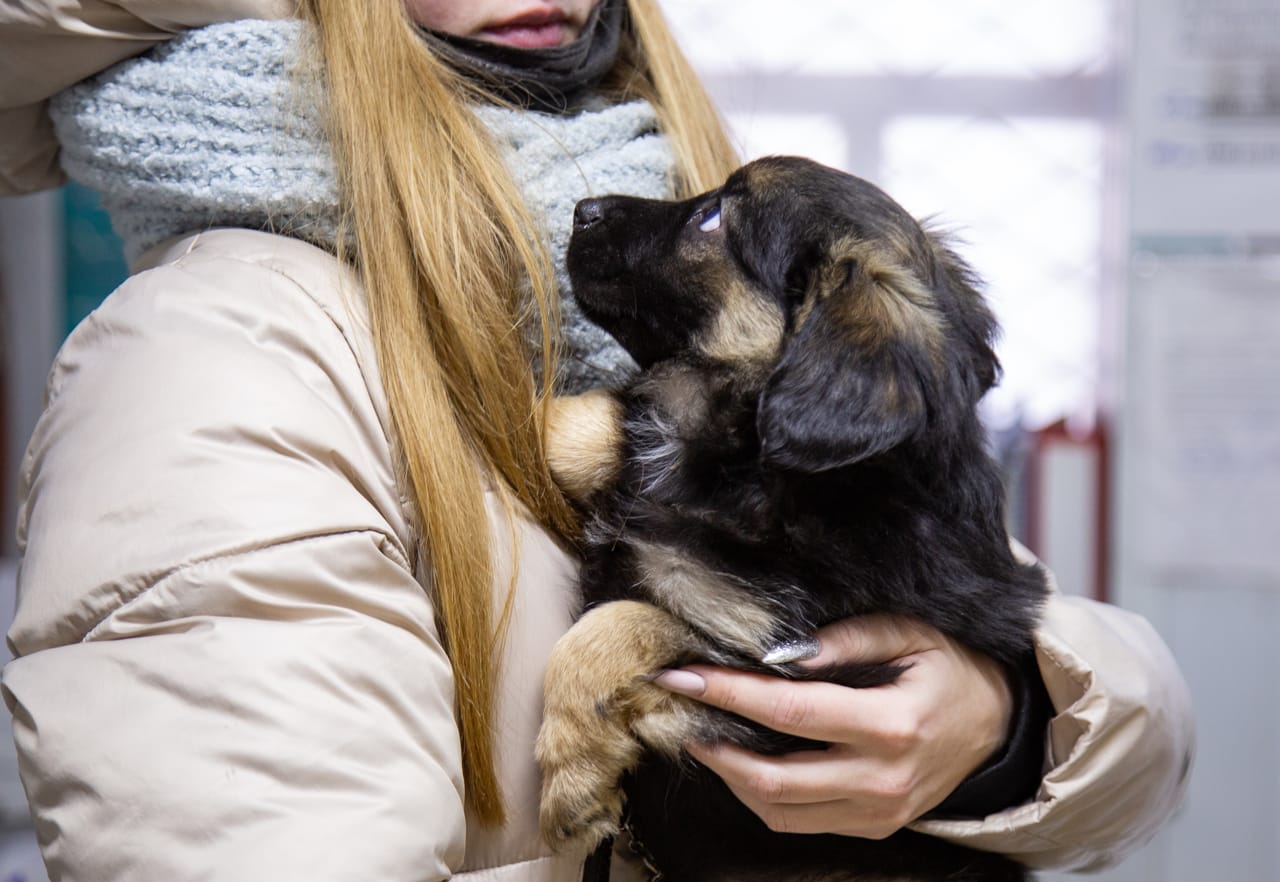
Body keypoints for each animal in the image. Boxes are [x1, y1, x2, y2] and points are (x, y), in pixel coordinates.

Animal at [540, 156, 1049, 880]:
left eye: (713, 218)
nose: (583, 210)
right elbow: (595, 423)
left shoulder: (787, 673)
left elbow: (617, 624)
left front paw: (573, 772)